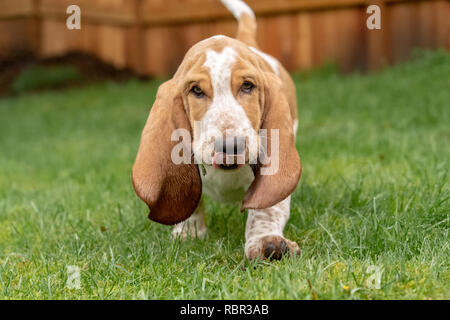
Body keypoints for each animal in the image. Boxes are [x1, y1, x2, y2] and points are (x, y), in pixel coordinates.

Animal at [134, 0, 302, 260]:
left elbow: (265, 209)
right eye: (196, 90)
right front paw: (190, 234)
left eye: (247, 86)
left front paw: (266, 242)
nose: (230, 147)